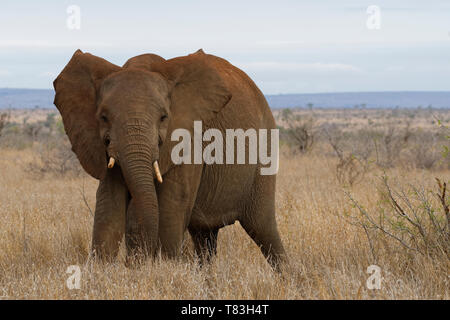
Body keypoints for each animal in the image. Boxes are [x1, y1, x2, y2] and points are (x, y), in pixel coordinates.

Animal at [51, 48, 284, 268]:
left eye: (163, 117)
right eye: (103, 117)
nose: (130, 262)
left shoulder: (190, 137)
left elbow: (172, 204)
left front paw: (165, 267)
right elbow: (109, 204)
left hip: (264, 152)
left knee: (263, 229)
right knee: (205, 239)